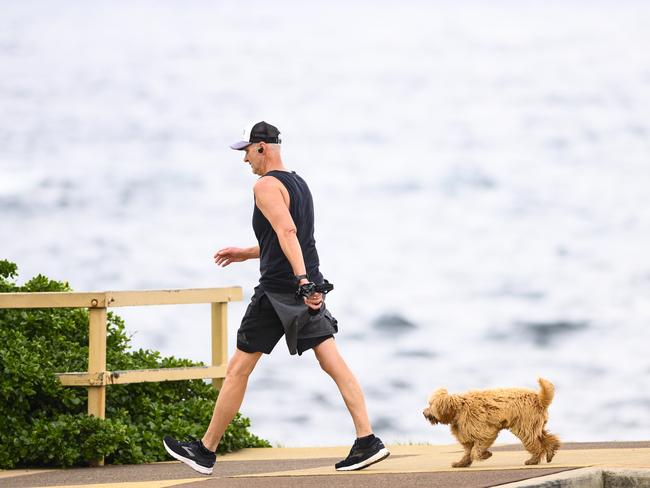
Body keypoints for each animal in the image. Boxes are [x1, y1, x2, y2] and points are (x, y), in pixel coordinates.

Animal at [422, 376, 560, 468]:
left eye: (430, 404)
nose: (423, 412)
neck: (460, 408)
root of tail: (538, 398)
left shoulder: (484, 431)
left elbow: (476, 449)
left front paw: (485, 454)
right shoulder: (466, 433)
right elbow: (468, 450)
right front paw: (461, 463)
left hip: (525, 424)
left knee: (534, 442)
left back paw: (533, 460)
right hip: (534, 423)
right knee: (546, 438)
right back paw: (550, 453)